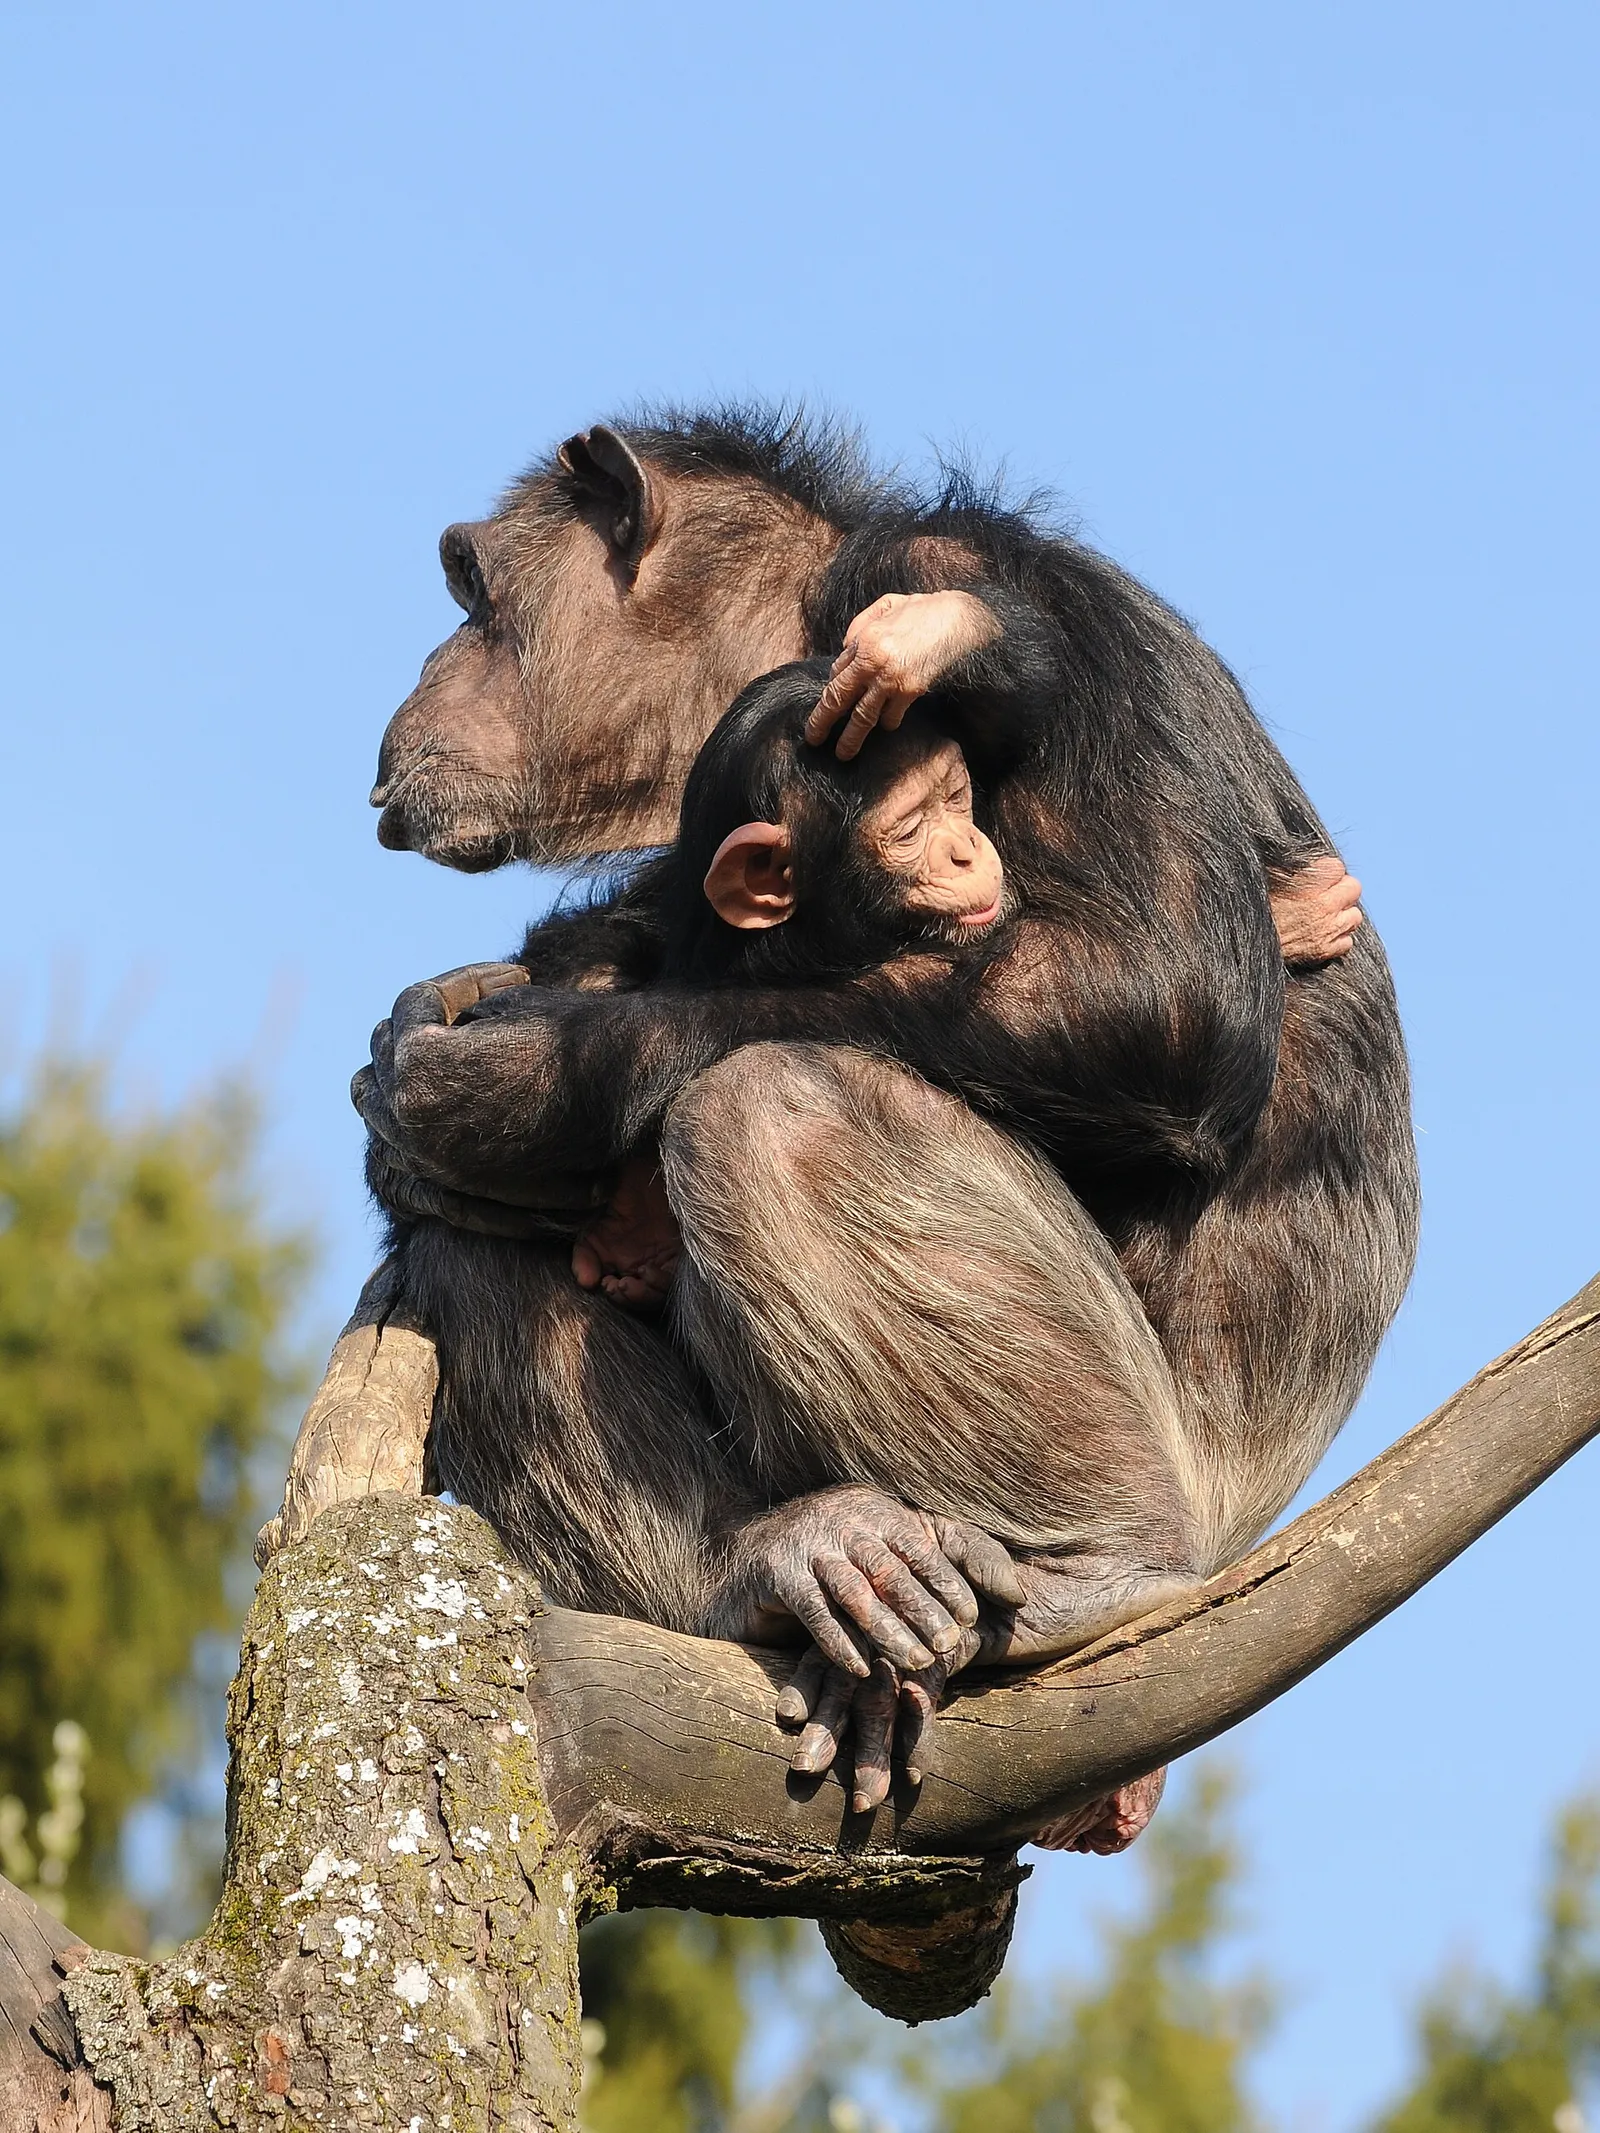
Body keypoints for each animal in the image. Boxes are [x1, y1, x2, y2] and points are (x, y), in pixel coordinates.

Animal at [352, 406, 1417, 1826]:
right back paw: (791, 1557)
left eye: (473, 592)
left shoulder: (958, 580)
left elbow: (1163, 990)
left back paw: (1094, 1565)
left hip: (1183, 1467)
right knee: (464, 1254)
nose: (436, 657)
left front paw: (510, 1078)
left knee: (771, 1108)